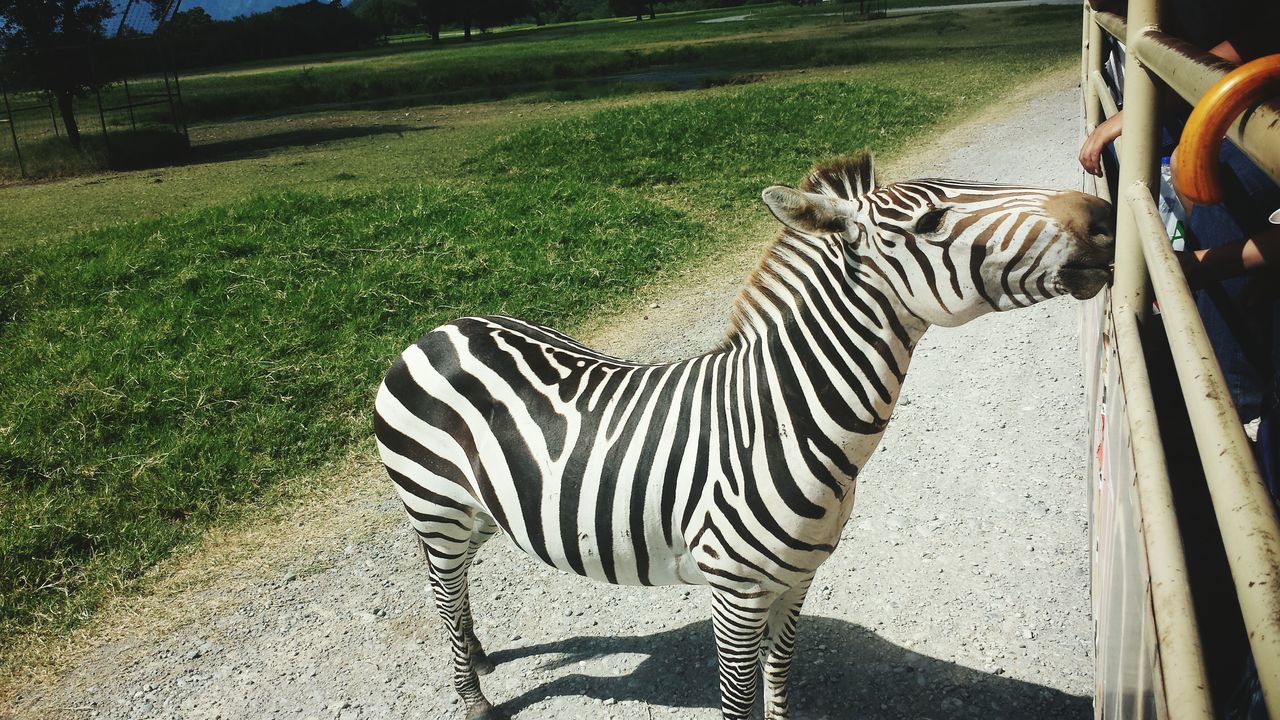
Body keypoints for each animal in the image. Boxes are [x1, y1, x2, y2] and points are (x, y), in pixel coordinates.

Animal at [373, 152, 1116, 717]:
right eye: (931, 222)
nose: (1105, 217)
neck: (783, 423)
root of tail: (437, 330)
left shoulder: (797, 580)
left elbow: (780, 676)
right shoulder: (732, 593)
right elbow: (738, 698)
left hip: (480, 512)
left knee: (454, 590)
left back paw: (477, 653)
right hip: (435, 507)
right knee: (443, 594)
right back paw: (473, 696)